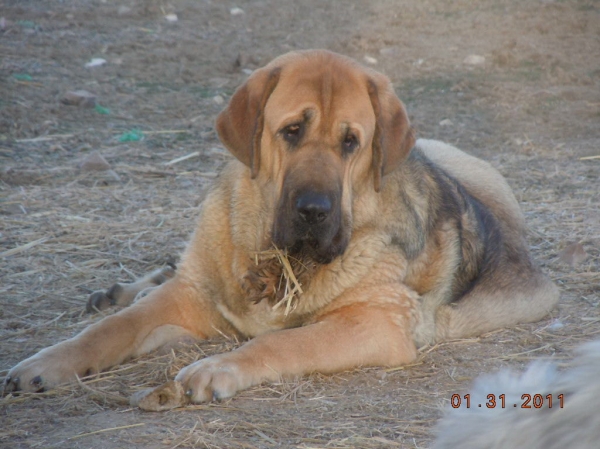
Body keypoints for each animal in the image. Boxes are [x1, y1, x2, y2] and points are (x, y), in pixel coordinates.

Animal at [3, 50, 556, 402]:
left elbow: (285, 341)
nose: (314, 210)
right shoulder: (192, 292)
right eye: (291, 131)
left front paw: (219, 368)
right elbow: (109, 330)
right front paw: (45, 363)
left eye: (351, 142)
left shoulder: (377, 322)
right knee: (164, 274)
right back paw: (122, 290)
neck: (273, 259)